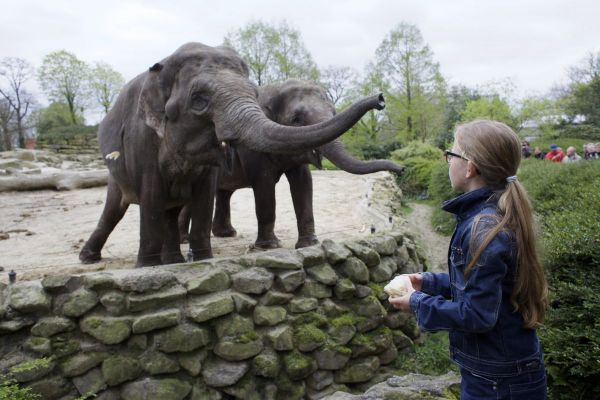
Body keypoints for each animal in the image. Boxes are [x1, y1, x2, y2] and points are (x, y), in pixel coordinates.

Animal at [178, 79, 404, 250]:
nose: (380, 99)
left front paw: (309, 245)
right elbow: (264, 183)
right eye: (296, 119)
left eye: (333, 112)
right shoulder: (250, 146)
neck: (274, 88)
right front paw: (269, 247)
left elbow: (303, 182)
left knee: (223, 192)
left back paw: (226, 234)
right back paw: (185, 240)